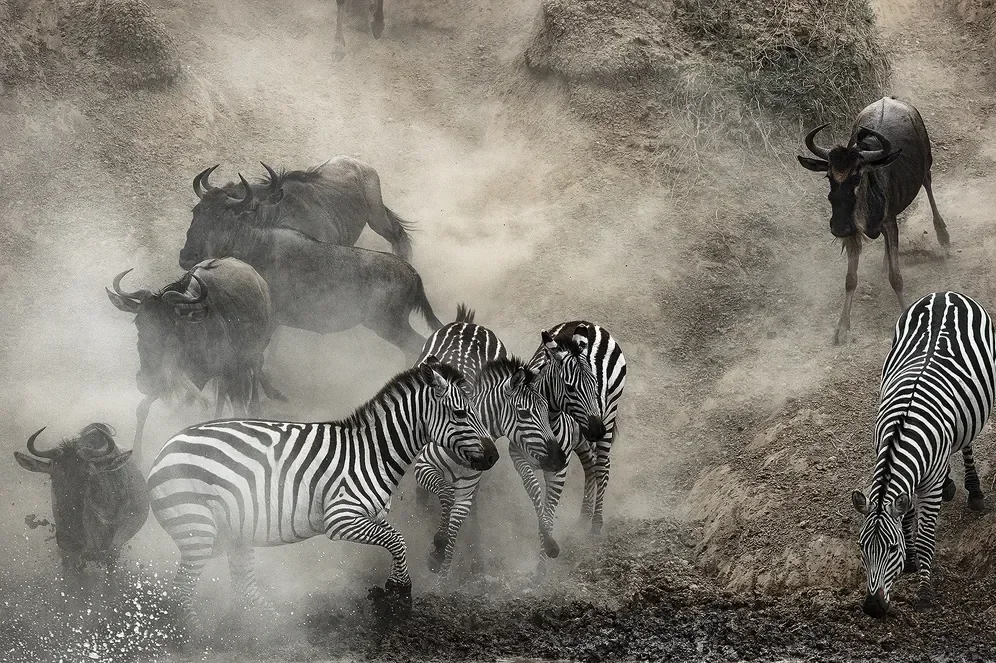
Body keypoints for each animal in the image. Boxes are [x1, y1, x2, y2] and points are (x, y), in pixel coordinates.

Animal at [147, 356, 498, 633]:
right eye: (461, 414)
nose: (494, 457)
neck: (373, 453)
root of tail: (165, 448)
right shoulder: (340, 518)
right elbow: (398, 540)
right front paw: (399, 597)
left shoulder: (370, 515)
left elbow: (394, 539)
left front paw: (392, 591)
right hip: (197, 528)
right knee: (181, 592)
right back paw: (196, 639)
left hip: (235, 529)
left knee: (242, 588)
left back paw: (270, 628)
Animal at [412, 305, 567, 575]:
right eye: (524, 413)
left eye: (547, 410)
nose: (558, 460)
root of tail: (470, 324)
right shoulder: (424, 466)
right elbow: (445, 494)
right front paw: (437, 545)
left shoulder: (466, 488)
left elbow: (454, 530)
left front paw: (440, 559)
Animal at [850, 291, 996, 618]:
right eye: (862, 548)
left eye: (891, 549)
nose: (873, 608)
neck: (900, 433)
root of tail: (946, 293)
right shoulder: (907, 477)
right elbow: (906, 516)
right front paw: (912, 561)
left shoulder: (927, 485)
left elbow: (926, 535)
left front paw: (925, 591)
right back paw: (951, 484)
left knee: (966, 442)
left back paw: (974, 492)